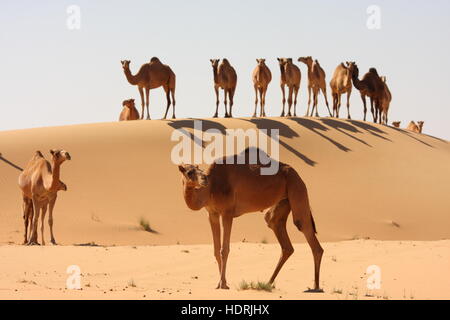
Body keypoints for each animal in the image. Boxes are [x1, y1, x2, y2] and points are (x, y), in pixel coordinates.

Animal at [177, 149, 324, 292]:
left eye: (198, 169)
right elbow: (216, 250)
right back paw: (268, 283)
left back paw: (315, 287)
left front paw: (223, 284)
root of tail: (297, 174)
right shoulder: (212, 214)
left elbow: (224, 250)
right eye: (189, 172)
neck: (210, 189)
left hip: (297, 188)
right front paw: (221, 283)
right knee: (277, 228)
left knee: (305, 229)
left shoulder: (227, 212)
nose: (204, 179)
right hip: (284, 200)